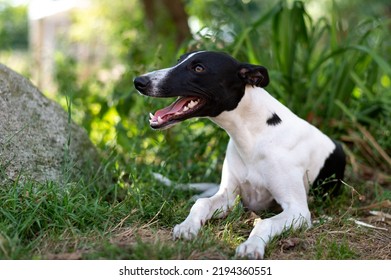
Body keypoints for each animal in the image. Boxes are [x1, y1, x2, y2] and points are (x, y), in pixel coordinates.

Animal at [134, 51, 346, 260]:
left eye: (198, 68)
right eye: (179, 60)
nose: (138, 81)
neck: (254, 135)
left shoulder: (298, 210)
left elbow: (265, 222)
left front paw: (251, 246)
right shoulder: (229, 197)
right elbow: (202, 204)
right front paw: (187, 226)